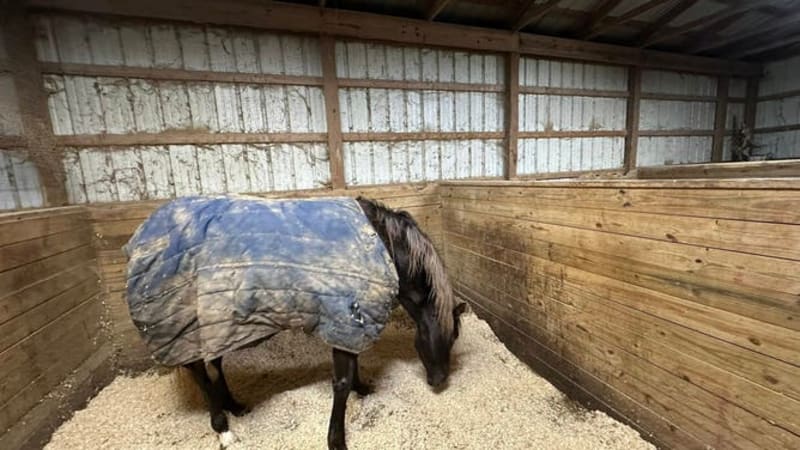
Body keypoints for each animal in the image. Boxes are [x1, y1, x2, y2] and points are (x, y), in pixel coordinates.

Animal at [122, 195, 466, 450]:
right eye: (448, 337)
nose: (439, 381)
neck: (385, 249)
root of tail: (138, 240)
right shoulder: (343, 317)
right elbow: (341, 383)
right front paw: (336, 440)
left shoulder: (350, 321)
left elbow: (352, 368)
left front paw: (362, 388)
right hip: (184, 327)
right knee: (200, 374)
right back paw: (224, 430)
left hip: (219, 324)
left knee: (215, 365)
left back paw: (235, 406)